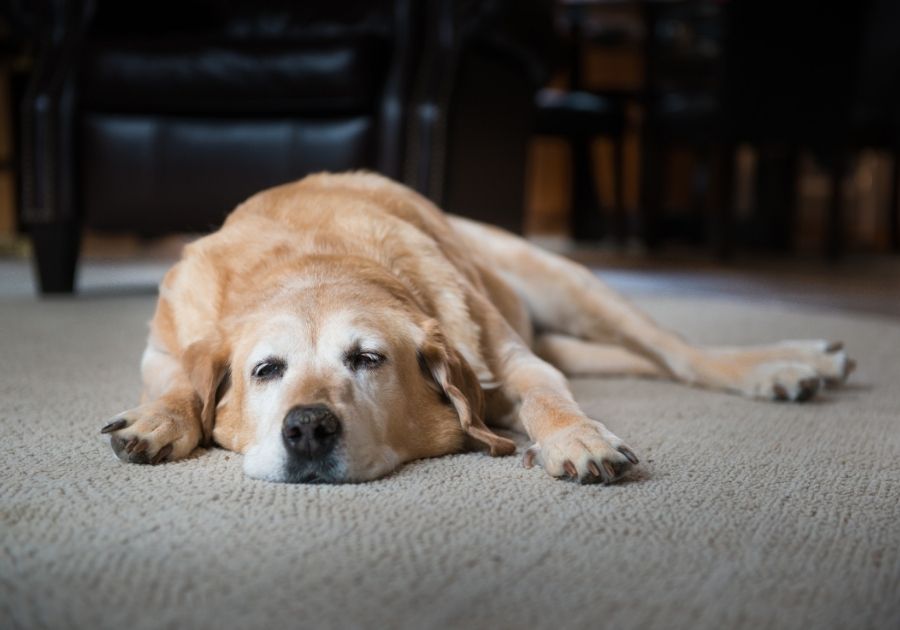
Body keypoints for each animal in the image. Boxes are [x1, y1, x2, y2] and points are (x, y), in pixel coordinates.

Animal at [102, 175, 856, 486]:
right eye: (266, 371)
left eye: (368, 359)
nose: (308, 427)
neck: (315, 259)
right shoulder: (162, 345)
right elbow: (179, 384)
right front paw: (159, 421)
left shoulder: (511, 360)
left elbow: (547, 396)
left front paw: (576, 439)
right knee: (640, 361)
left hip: (569, 283)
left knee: (679, 354)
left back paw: (782, 366)